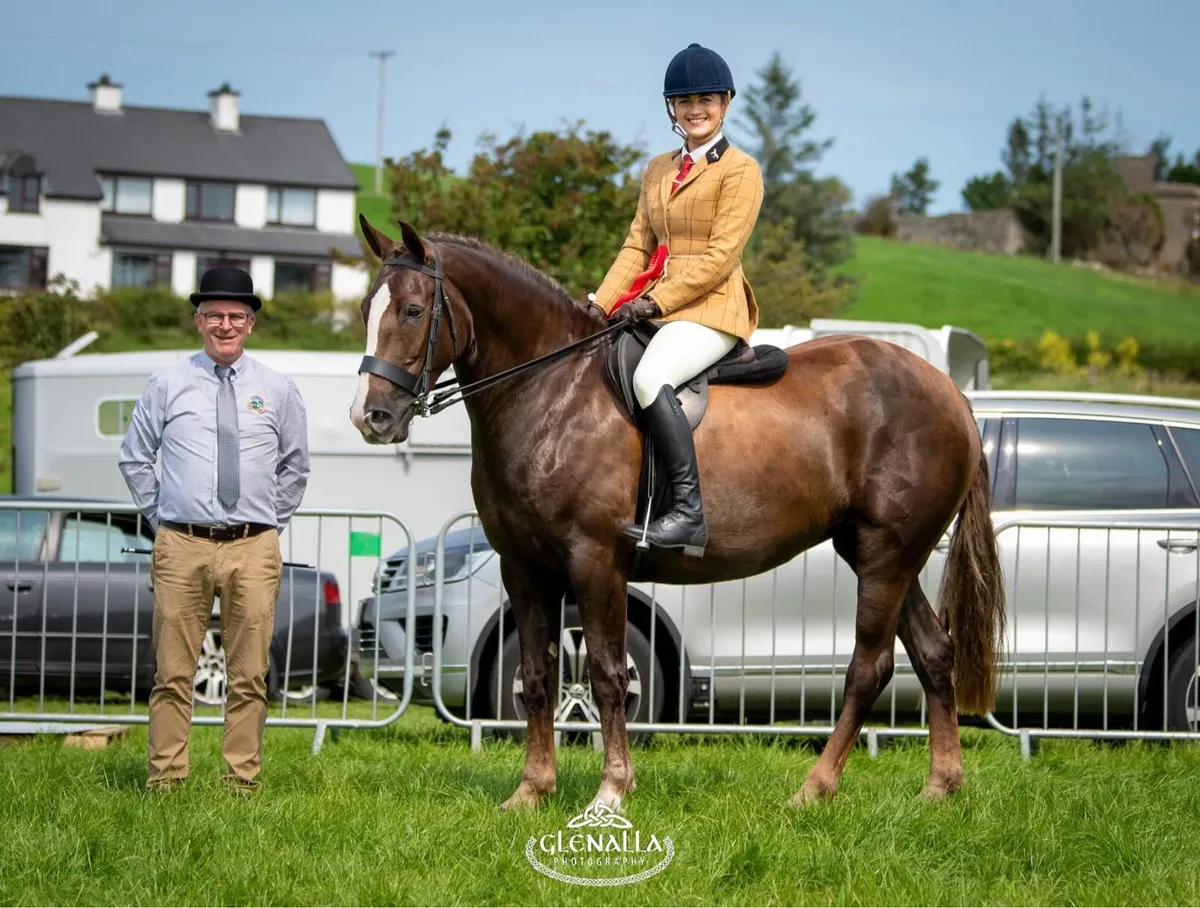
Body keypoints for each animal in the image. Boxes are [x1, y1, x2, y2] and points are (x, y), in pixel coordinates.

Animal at [349, 214, 1006, 812]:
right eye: (364, 310)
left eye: (413, 311)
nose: (370, 417)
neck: (552, 391)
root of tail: (950, 393)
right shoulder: (525, 568)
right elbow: (537, 678)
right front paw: (531, 792)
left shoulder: (595, 561)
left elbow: (607, 674)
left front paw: (611, 791)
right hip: (883, 554)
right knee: (933, 653)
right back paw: (940, 787)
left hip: (885, 553)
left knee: (869, 668)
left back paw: (814, 789)